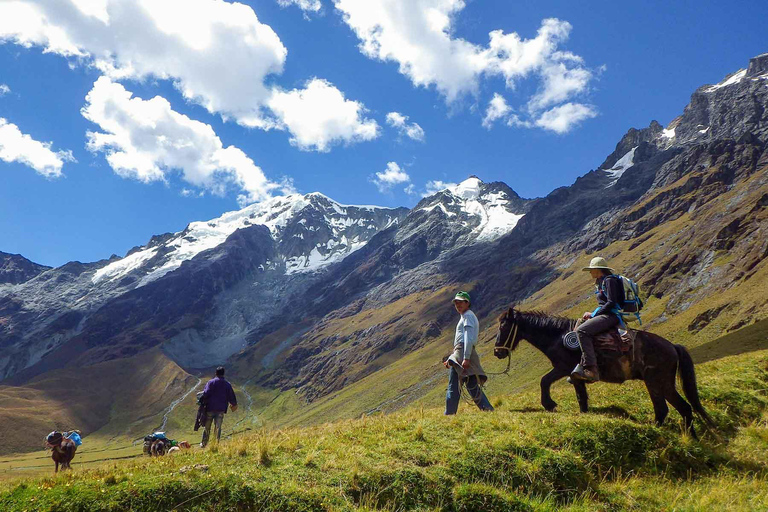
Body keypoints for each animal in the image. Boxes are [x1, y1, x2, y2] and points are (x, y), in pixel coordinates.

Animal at [492, 306, 712, 438]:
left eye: (504, 326)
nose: (497, 352)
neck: (557, 336)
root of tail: (672, 347)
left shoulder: (563, 367)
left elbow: (544, 381)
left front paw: (549, 404)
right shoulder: (574, 375)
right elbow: (581, 397)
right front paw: (583, 415)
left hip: (658, 382)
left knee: (673, 408)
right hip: (660, 383)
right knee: (676, 409)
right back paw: (684, 436)